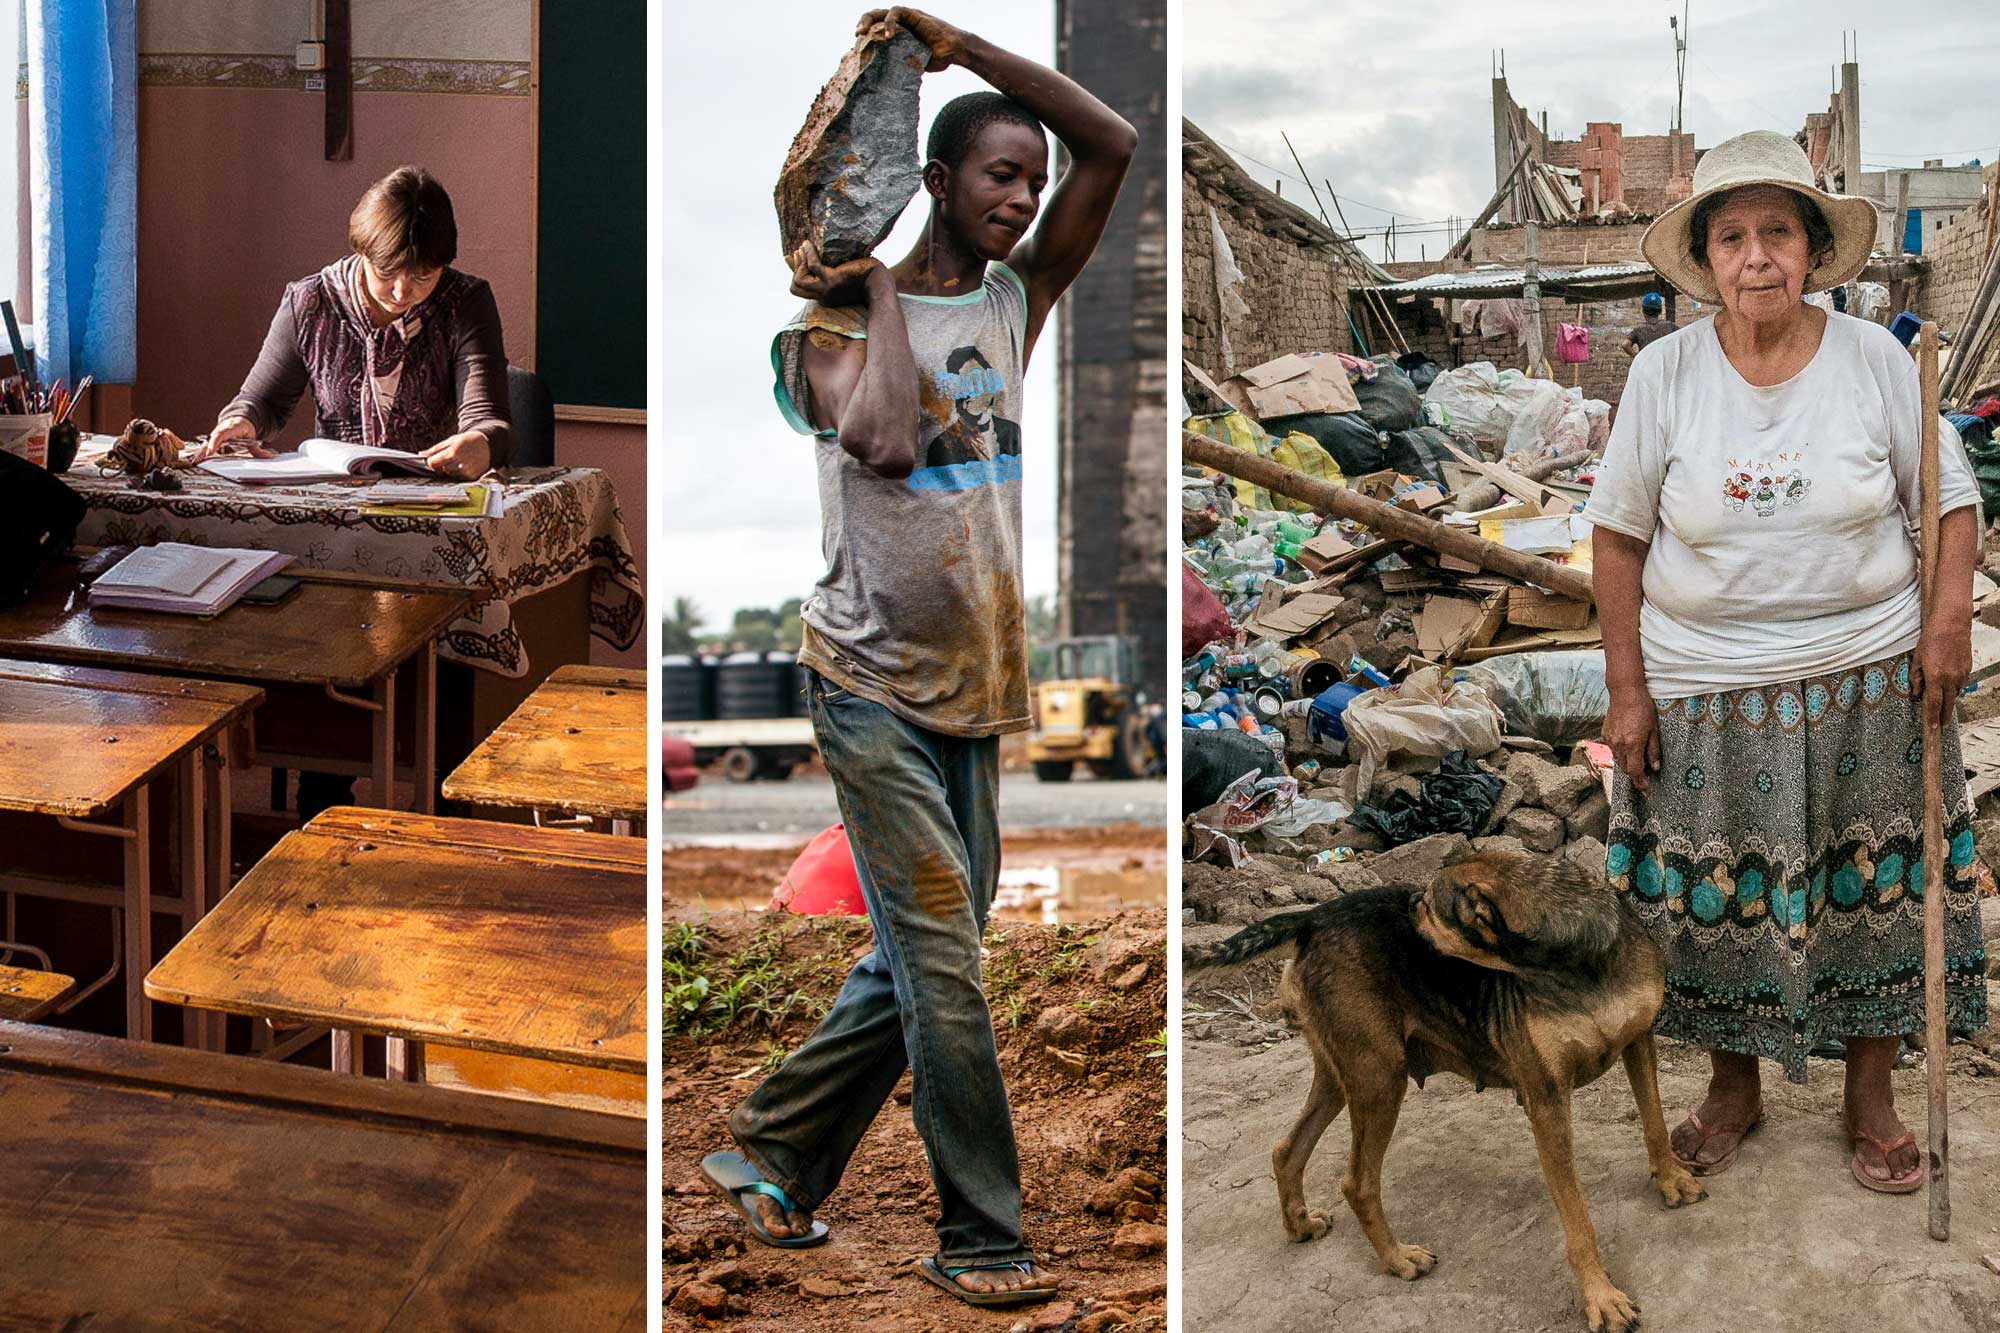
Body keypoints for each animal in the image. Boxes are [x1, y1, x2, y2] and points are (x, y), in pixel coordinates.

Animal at [1184, 852, 1704, 1328]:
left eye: (1430, 905)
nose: (1407, 902)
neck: (1578, 962)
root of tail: (1313, 917)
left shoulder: (1639, 1039)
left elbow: (1654, 1121)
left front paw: (1671, 1179)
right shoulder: (1547, 1100)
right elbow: (1577, 1218)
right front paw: (1601, 1297)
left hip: (1344, 1076)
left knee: (1286, 1150)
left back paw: (1300, 1226)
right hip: (1379, 1079)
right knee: (1357, 1183)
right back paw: (1398, 1259)